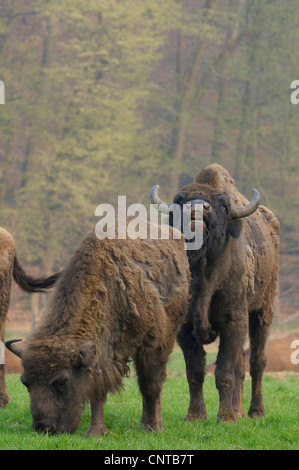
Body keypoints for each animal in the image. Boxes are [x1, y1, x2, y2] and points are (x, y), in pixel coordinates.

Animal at [152, 164, 282, 422]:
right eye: (180, 200)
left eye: (221, 204)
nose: (197, 209)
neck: (204, 274)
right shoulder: (185, 328)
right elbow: (195, 372)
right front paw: (195, 416)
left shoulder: (233, 320)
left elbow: (224, 371)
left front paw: (225, 417)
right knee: (241, 366)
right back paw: (239, 412)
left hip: (263, 311)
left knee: (257, 362)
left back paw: (255, 412)